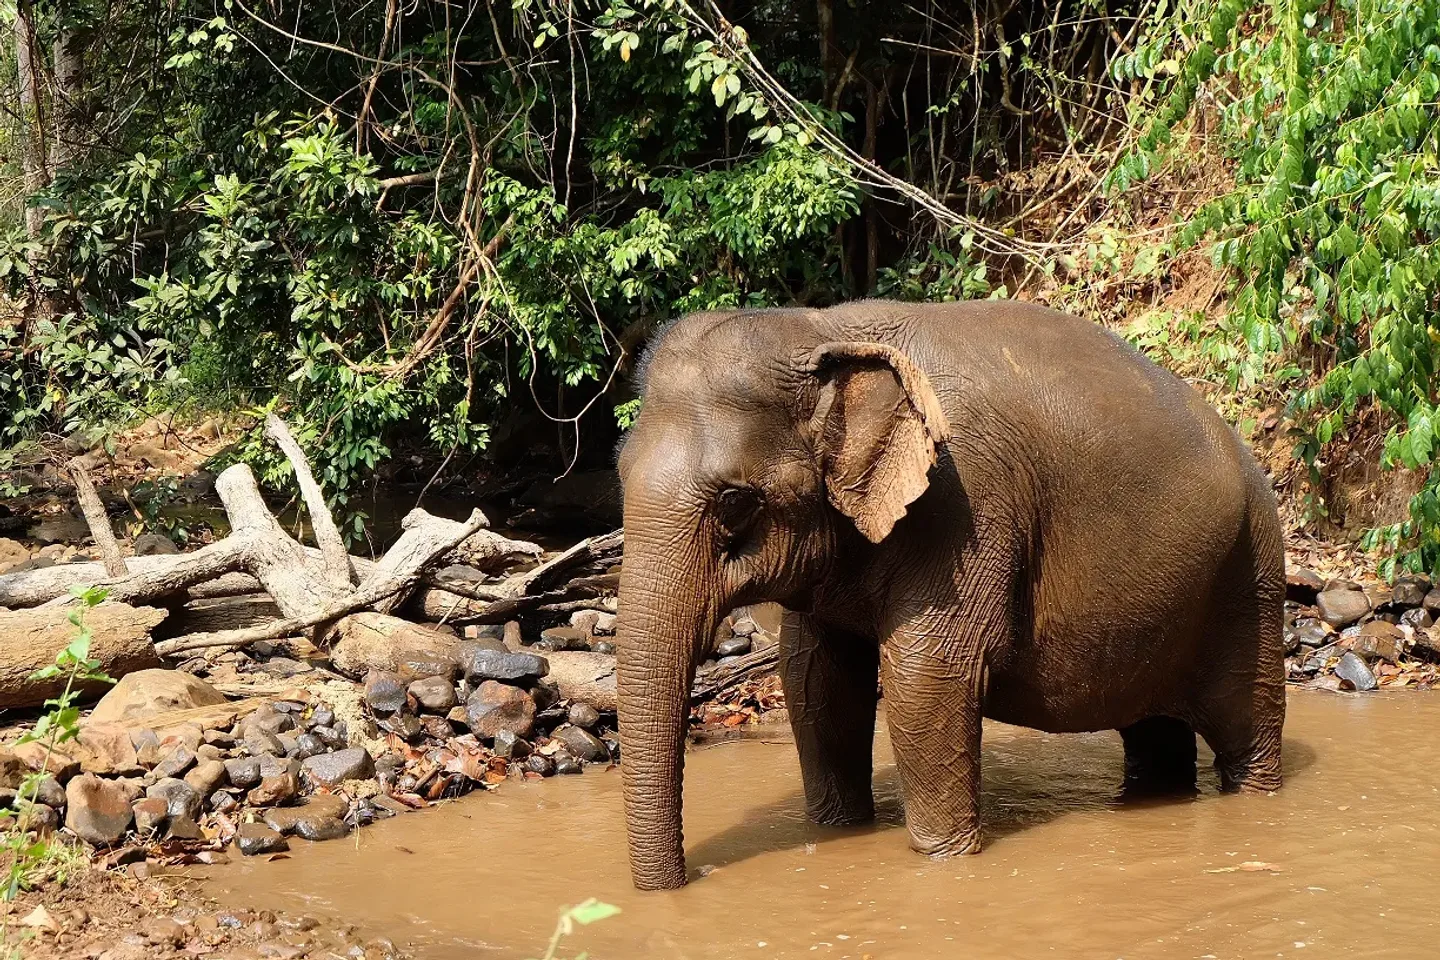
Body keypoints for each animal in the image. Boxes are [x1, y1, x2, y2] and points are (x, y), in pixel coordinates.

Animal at [614, 299, 1286, 890]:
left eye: (734, 503)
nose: (693, 878)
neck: (821, 329)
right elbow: (816, 678)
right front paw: (837, 829)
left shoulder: (965, 506)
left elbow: (924, 679)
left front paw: (945, 860)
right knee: (1153, 734)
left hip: (1250, 579)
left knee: (1246, 730)